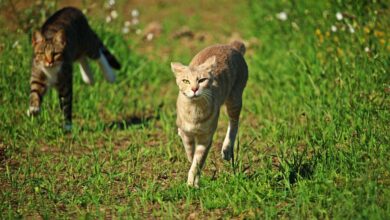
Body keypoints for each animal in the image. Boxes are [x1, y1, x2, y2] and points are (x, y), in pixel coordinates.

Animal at [171, 40, 250, 186]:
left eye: (201, 80)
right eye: (185, 81)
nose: (194, 89)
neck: (195, 111)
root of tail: (231, 46)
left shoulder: (206, 137)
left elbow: (198, 161)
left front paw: (192, 183)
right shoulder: (186, 133)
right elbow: (189, 149)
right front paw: (192, 167)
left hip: (234, 99)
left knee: (234, 124)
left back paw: (226, 149)